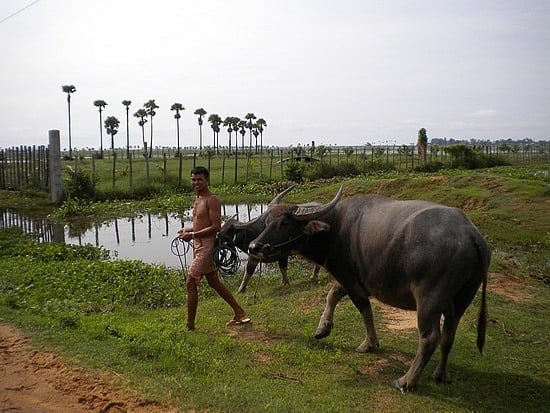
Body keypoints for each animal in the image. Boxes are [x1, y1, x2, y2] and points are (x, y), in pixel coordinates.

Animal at [250, 185, 492, 392]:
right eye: (267, 222)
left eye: (284, 224)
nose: (254, 246)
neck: (335, 228)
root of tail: (471, 235)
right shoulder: (348, 278)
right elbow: (332, 294)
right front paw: (322, 328)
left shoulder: (352, 281)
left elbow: (364, 310)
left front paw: (369, 344)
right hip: (464, 296)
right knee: (449, 333)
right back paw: (440, 374)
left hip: (429, 298)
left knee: (430, 337)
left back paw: (406, 381)